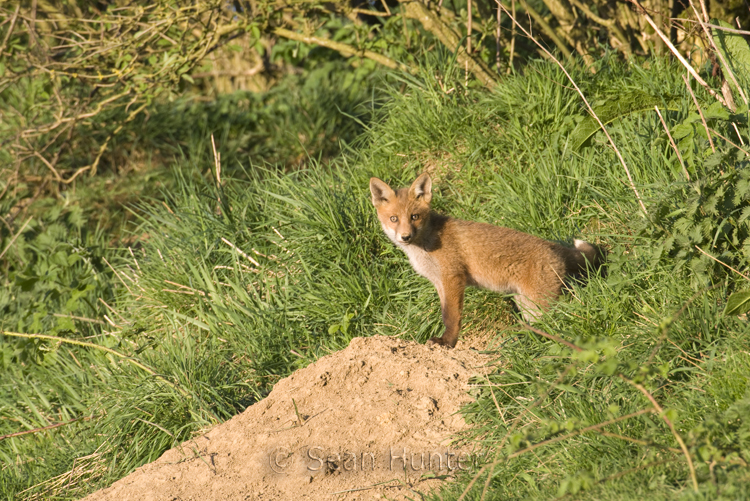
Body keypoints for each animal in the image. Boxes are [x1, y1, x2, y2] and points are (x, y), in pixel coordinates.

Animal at [370, 172, 604, 348]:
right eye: (394, 219)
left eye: (414, 217)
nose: (405, 236)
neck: (425, 244)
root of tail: (552, 247)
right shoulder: (439, 282)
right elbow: (445, 312)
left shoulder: (452, 277)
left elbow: (451, 316)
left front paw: (448, 342)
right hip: (527, 305)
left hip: (540, 302)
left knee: (564, 316)